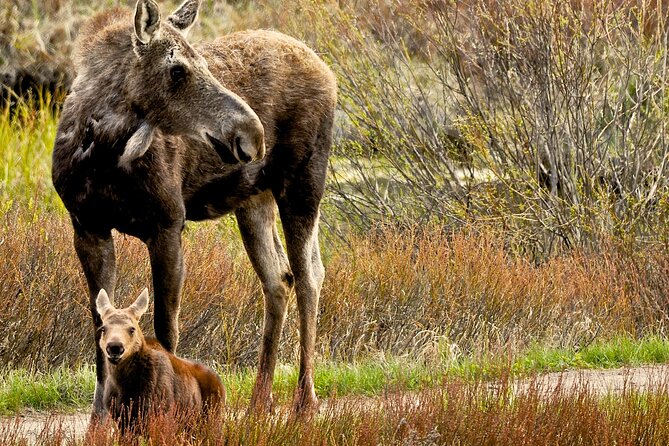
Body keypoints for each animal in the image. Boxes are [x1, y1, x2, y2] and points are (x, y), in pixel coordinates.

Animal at [94, 288, 224, 426]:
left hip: (211, 420)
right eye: (103, 328)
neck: (124, 385)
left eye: (132, 329)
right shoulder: (122, 418)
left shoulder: (161, 413)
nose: (115, 347)